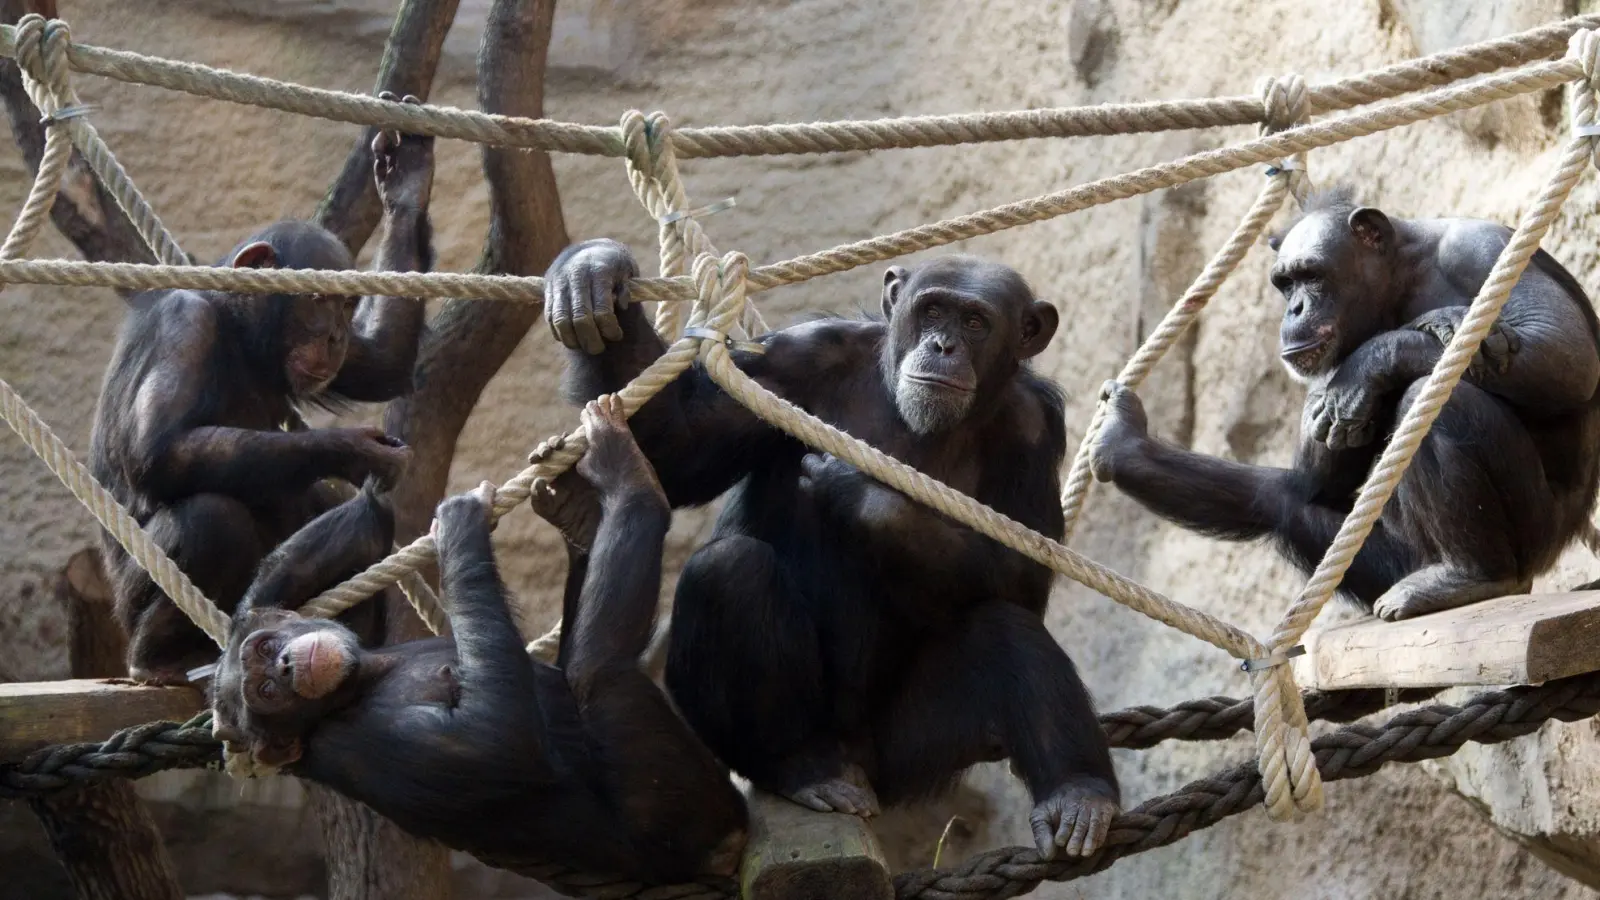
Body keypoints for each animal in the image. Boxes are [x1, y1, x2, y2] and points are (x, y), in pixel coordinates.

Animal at [87, 92, 438, 679]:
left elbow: (383, 362)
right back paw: (162, 656)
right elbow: (160, 450)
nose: (335, 335)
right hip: (132, 605)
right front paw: (356, 450)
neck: (238, 327)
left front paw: (407, 180)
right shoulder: (185, 326)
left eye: (347, 302)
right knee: (211, 516)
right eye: (317, 298)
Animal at [211, 395, 748, 877]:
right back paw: (626, 473)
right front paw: (458, 523)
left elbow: (350, 537)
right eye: (266, 692)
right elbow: (495, 741)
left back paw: (577, 508)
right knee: (596, 671)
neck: (367, 676)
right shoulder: (358, 747)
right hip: (674, 808)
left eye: (265, 652)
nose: (282, 667)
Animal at [544, 240, 1120, 851]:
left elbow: (1025, 574)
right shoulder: (797, 357)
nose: (943, 346)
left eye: (975, 322)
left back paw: (1077, 794)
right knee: (731, 570)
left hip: (909, 753)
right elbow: (678, 447)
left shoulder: (1034, 426)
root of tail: (858, 767)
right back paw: (801, 767)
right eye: (932, 311)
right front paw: (592, 273)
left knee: (1007, 630)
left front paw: (861, 492)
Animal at [1088, 185, 1600, 621]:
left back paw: (1472, 576)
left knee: (1439, 400)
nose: (1293, 309)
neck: (1401, 278)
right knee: (1285, 502)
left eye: (1311, 276)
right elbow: (1317, 483)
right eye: (1284, 283)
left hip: (1536, 534)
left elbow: (1564, 350)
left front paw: (1376, 361)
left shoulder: (1480, 248)